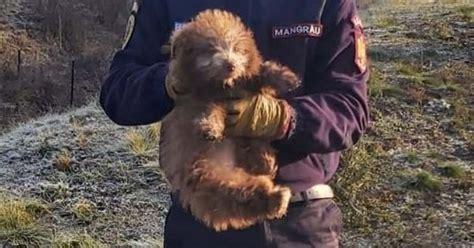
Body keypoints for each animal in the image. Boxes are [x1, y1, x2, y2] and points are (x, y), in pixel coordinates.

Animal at [159, 8, 300, 232]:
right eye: (210, 49)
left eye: (237, 48)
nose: (231, 64)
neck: (223, 86)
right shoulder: (194, 98)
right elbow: (207, 108)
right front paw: (210, 127)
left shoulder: (248, 85)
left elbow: (260, 73)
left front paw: (285, 77)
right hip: (209, 176)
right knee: (238, 195)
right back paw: (276, 197)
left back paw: (266, 163)